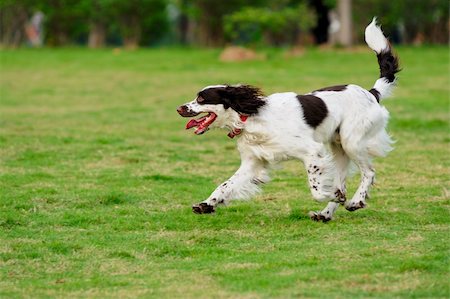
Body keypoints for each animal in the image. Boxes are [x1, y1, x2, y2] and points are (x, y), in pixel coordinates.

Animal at [178, 17, 400, 221]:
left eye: (201, 98)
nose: (179, 108)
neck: (252, 118)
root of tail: (371, 93)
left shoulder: (312, 152)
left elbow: (317, 190)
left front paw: (335, 196)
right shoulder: (252, 162)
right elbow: (225, 185)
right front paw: (207, 204)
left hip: (351, 142)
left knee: (369, 172)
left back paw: (356, 201)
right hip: (339, 148)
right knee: (343, 180)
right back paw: (325, 214)